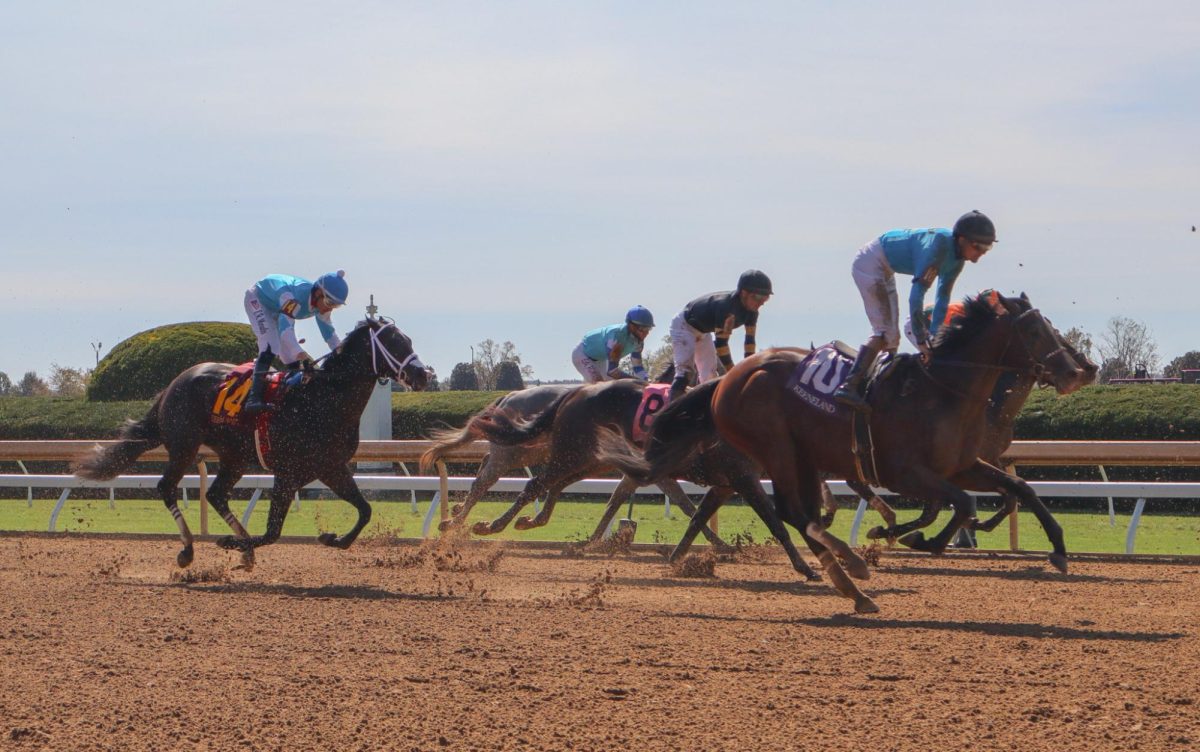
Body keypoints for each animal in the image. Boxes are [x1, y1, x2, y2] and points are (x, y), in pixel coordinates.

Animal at [72, 314, 429, 568]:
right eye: (394, 344)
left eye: (408, 340)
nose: (423, 374)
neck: (321, 399)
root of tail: (173, 384)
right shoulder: (288, 472)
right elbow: (273, 532)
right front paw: (232, 543)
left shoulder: (330, 467)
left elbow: (365, 509)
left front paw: (334, 539)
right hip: (185, 445)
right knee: (167, 487)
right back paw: (189, 549)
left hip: (235, 456)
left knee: (216, 494)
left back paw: (239, 548)